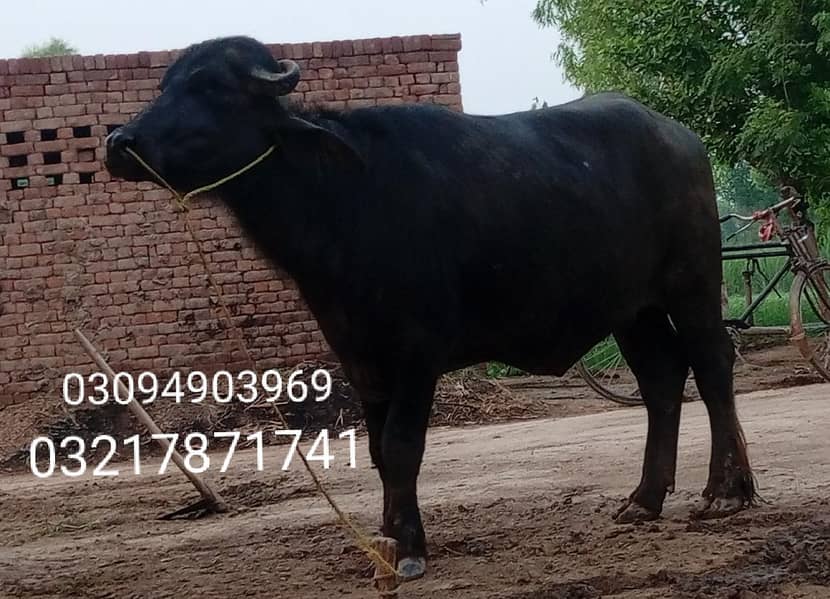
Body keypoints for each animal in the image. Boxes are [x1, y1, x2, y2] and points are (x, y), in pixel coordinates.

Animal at [105, 36, 755, 580]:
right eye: (166, 84)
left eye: (212, 88)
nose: (118, 143)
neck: (343, 201)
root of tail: (679, 137)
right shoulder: (358, 355)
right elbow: (376, 451)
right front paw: (387, 541)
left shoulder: (417, 353)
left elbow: (401, 447)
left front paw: (410, 550)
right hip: (631, 309)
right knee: (662, 380)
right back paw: (644, 499)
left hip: (691, 282)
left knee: (712, 364)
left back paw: (727, 491)